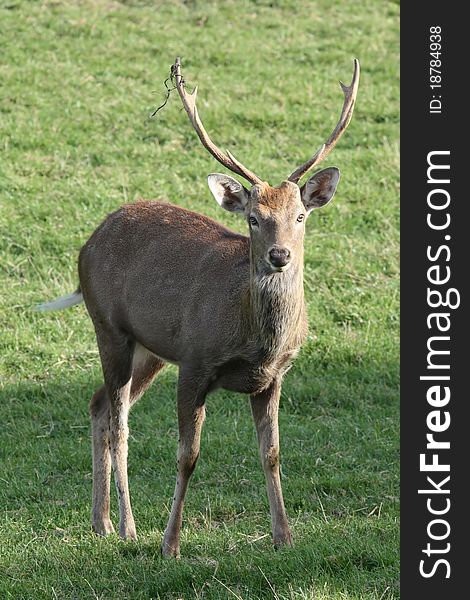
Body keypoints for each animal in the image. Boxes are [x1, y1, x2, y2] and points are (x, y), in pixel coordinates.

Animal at [37, 57, 360, 556]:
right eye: (254, 218)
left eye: (300, 215)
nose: (279, 255)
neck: (255, 339)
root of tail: (86, 246)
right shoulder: (194, 361)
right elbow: (187, 456)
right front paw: (170, 544)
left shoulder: (275, 375)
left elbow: (272, 453)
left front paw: (284, 536)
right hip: (109, 327)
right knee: (119, 422)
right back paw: (128, 526)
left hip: (150, 349)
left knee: (97, 404)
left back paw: (101, 521)